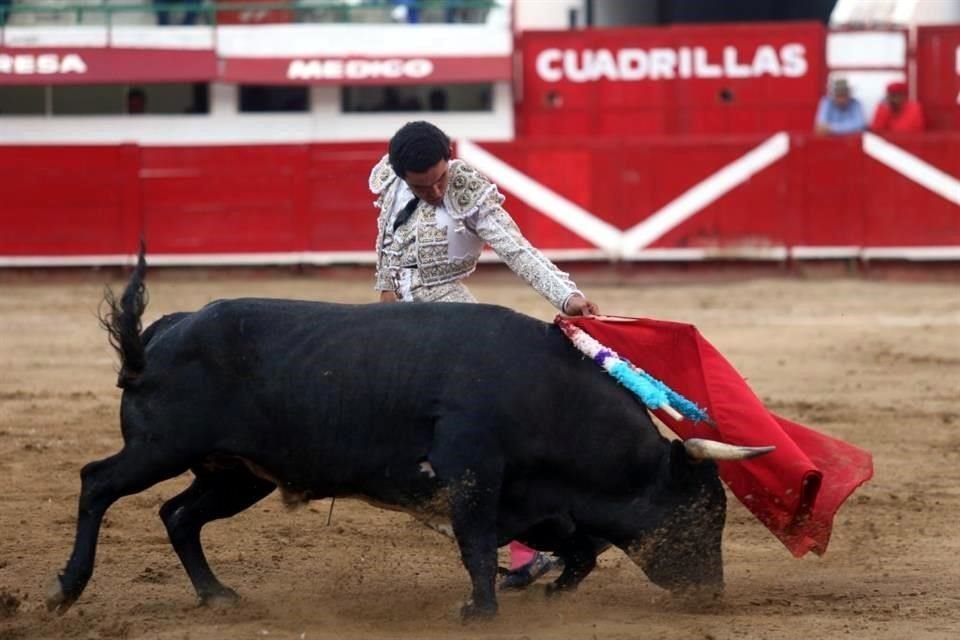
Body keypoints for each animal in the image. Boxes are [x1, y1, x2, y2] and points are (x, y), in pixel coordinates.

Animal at [47, 255, 772, 620]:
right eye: (703, 510)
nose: (712, 594)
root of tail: (169, 328)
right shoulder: (471, 473)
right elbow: (478, 547)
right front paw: (479, 611)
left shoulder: (535, 500)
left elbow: (577, 549)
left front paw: (550, 590)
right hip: (159, 449)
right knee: (97, 484)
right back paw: (66, 590)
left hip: (236, 474)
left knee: (178, 515)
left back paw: (217, 594)